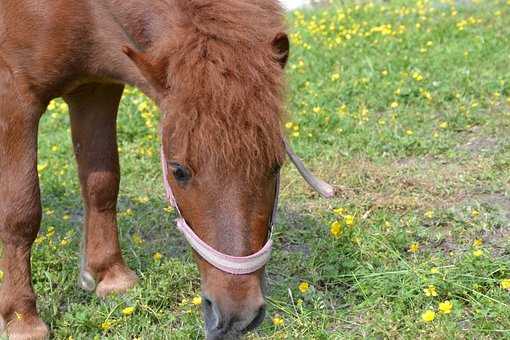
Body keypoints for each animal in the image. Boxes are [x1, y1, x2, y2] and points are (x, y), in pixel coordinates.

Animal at [0, 0, 332, 338]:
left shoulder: (96, 88)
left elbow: (102, 184)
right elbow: (21, 214)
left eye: (275, 165)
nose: (237, 316)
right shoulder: (15, 98)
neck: (84, 11)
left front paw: (111, 275)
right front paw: (21, 318)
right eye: (178, 171)